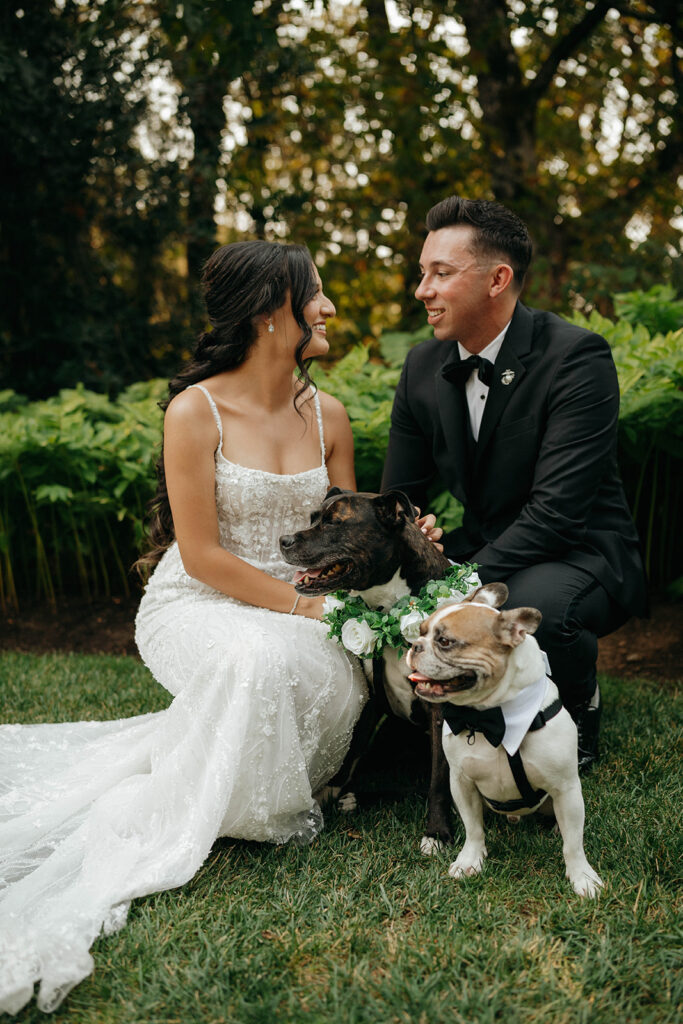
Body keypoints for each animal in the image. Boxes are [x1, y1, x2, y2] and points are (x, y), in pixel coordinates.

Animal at [280, 487, 456, 847]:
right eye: (312, 518)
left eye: (334, 523)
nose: (284, 540)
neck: (389, 609)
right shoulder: (371, 699)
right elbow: (350, 755)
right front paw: (327, 794)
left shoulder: (439, 708)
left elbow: (439, 777)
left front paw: (437, 832)